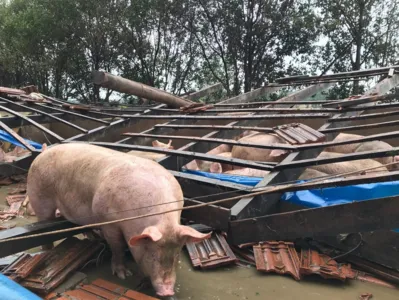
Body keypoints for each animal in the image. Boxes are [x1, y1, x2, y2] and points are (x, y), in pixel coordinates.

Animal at [26, 144, 211, 298]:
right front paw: (123, 275)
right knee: (44, 227)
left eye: (177, 254)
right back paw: (47, 253)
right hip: (39, 197)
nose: (167, 292)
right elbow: (117, 246)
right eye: (152, 254)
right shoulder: (108, 221)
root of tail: (43, 152)